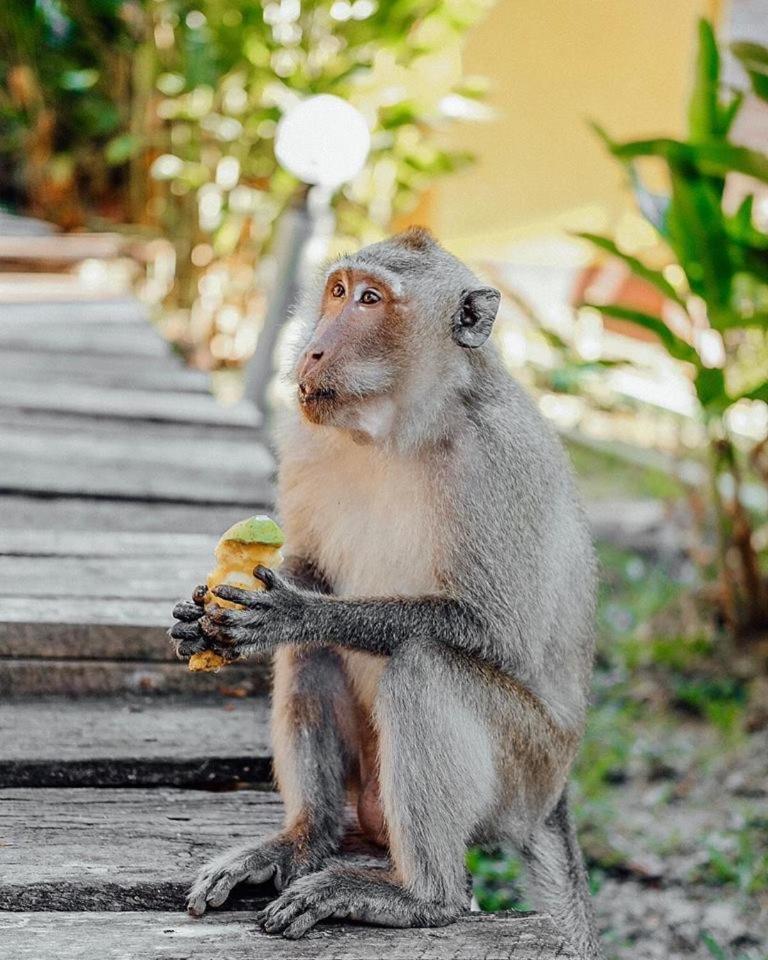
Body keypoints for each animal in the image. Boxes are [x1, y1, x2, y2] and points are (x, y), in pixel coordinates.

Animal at [171, 229, 604, 956]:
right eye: (338, 291)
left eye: (371, 301)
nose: (315, 348)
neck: (402, 428)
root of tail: (554, 797)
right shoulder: (304, 434)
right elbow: (307, 565)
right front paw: (209, 615)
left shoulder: (500, 461)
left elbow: (494, 629)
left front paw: (295, 611)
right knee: (314, 659)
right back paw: (304, 839)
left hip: (526, 769)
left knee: (424, 664)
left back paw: (421, 897)